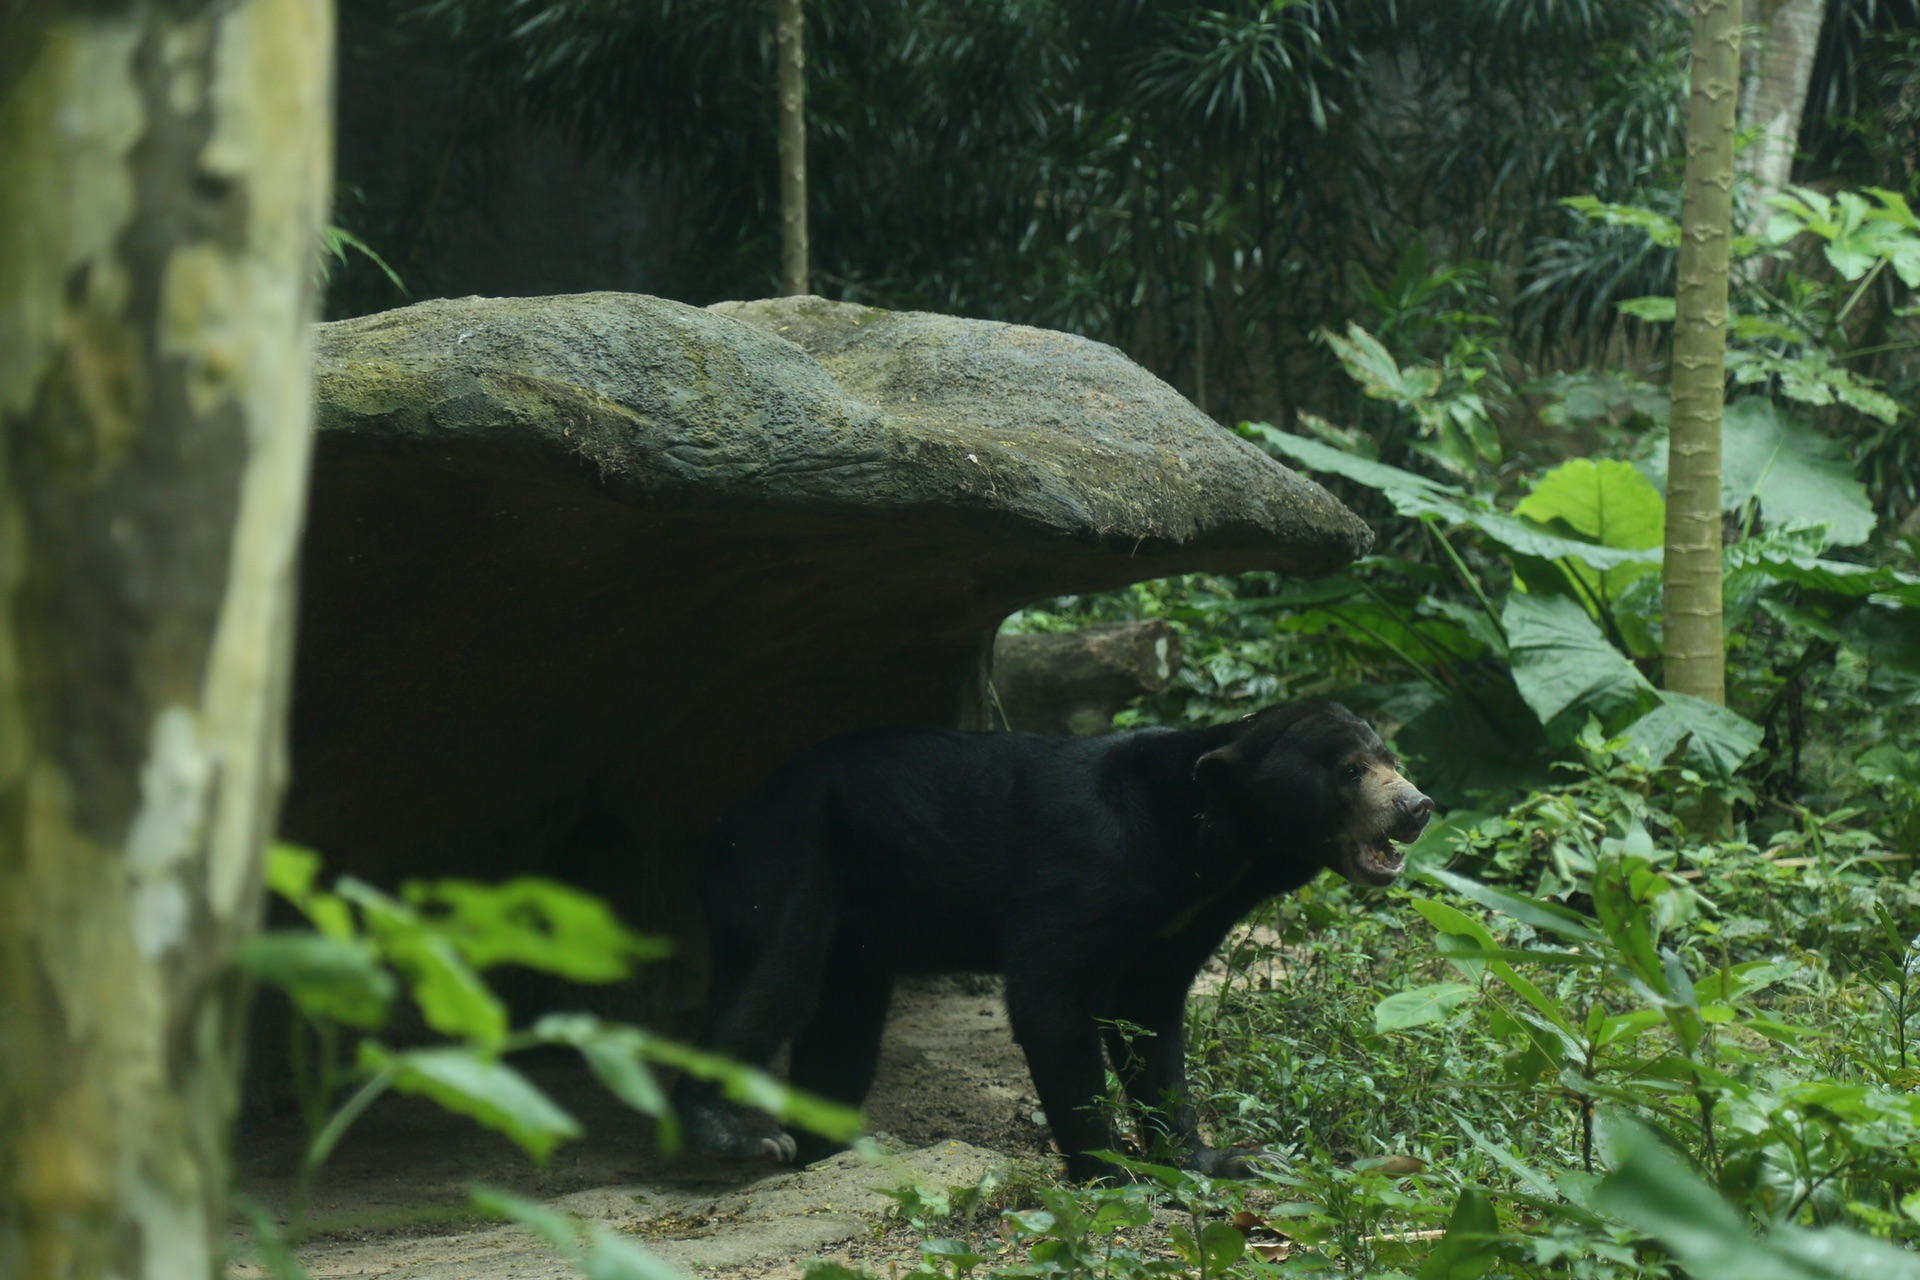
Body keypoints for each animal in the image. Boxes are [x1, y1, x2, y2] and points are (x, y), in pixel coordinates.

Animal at [675, 702, 1428, 1182]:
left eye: (1393, 759)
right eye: (1351, 771)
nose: (1416, 807)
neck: (1213, 848)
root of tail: (718, 824)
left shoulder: (1180, 923)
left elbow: (1151, 1025)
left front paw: (1225, 1160)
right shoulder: (1091, 865)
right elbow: (1050, 999)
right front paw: (1111, 1170)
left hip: (855, 920)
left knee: (842, 1026)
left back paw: (826, 1148)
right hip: (786, 856)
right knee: (774, 977)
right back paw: (743, 1138)